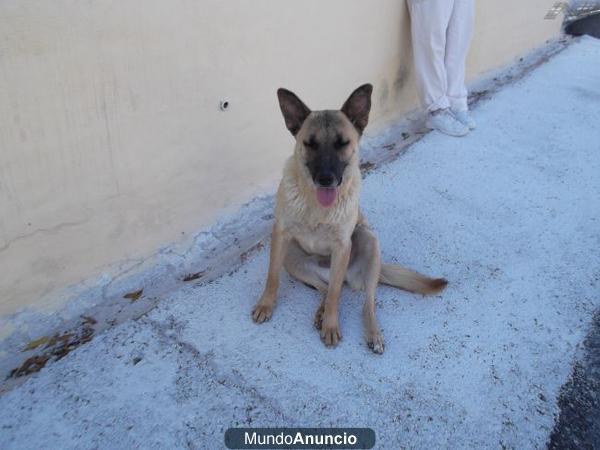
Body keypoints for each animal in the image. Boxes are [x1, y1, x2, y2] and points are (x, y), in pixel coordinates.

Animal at [251, 82, 448, 354]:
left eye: (342, 143)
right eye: (310, 144)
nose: (325, 179)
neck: (316, 206)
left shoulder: (342, 246)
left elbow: (336, 294)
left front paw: (331, 326)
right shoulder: (280, 234)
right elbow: (272, 276)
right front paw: (266, 304)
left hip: (368, 241)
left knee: (361, 300)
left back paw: (372, 333)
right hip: (292, 258)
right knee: (325, 288)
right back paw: (321, 311)